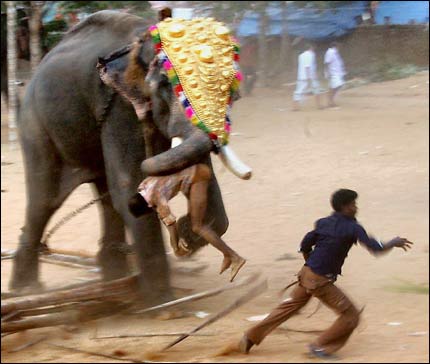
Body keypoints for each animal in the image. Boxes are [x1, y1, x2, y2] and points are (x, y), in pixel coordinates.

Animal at [10, 9, 250, 304]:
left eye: (231, 91)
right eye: (164, 85)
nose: (184, 231)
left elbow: (198, 172)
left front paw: (188, 235)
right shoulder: (120, 106)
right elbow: (128, 182)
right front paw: (163, 303)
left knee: (104, 196)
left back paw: (112, 275)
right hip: (36, 124)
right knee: (44, 199)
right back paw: (26, 290)